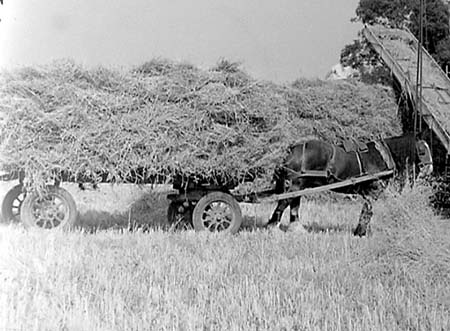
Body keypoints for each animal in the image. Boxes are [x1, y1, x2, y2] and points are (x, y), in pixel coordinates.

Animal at [268, 134, 432, 237]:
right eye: (423, 151)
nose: (430, 169)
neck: (383, 155)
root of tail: (293, 150)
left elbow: (366, 211)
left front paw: (361, 231)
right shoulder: (373, 191)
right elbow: (367, 212)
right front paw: (360, 232)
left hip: (299, 186)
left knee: (294, 204)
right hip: (295, 185)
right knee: (284, 202)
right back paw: (272, 227)